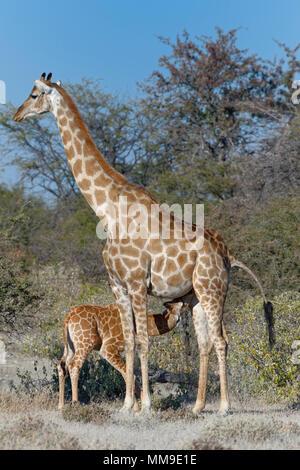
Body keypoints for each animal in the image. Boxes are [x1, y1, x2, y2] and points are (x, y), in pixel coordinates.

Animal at [57, 302, 185, 410]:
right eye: (181, 307)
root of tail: (68, 318)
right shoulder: (108, 347)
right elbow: (130, 375)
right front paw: (138, 409)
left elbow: (128, 374)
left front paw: (140, 408)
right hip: (85, 343)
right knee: (74, 366)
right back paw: (76, 404)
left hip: (70, 346)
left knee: (62, 366)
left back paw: (61, 406)